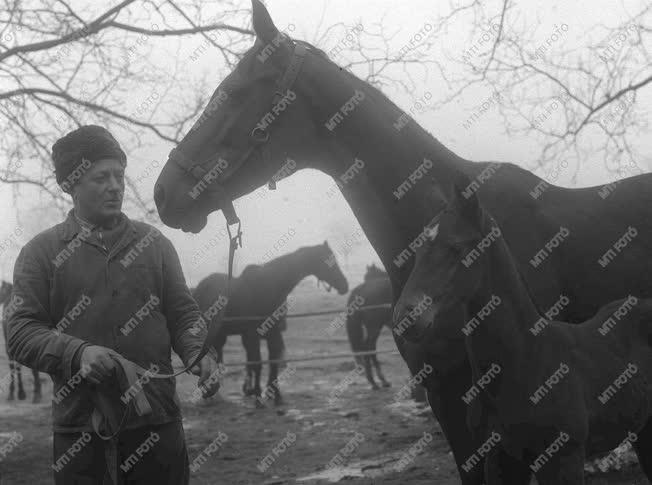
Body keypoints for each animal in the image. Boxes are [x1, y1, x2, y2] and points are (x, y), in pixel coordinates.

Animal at [191, 242, 348, 404]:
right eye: (328, 261)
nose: (345, 285)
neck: (268, 287)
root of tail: (200, 286)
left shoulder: (274, 332)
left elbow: (273, 362)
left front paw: (275, 395)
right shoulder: (252, 335)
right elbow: (257, 364)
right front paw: (258, 396)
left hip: (220, 334)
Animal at [392, 178, 652, 484]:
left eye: (457, 248)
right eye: (418, 251)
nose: (405, 319)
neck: (526, 358)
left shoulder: (564, 459)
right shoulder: (500, 459)